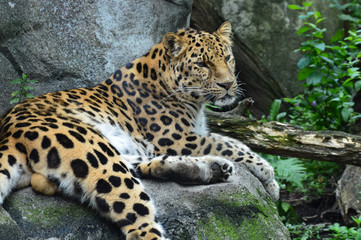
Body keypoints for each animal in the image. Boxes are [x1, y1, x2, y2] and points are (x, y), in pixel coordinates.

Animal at [0, 21, 278, 239]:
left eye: (228, 58)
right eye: (202, 64)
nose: (228, 84)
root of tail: (7, 132)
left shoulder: (195, 133)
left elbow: (235, 142)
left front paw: (269, 178)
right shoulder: (179, 139)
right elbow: (229, 145)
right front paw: (269, 175)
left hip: (110, 148)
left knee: (141, 164)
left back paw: (213, 168)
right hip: (93, 152)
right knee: (139, 222)